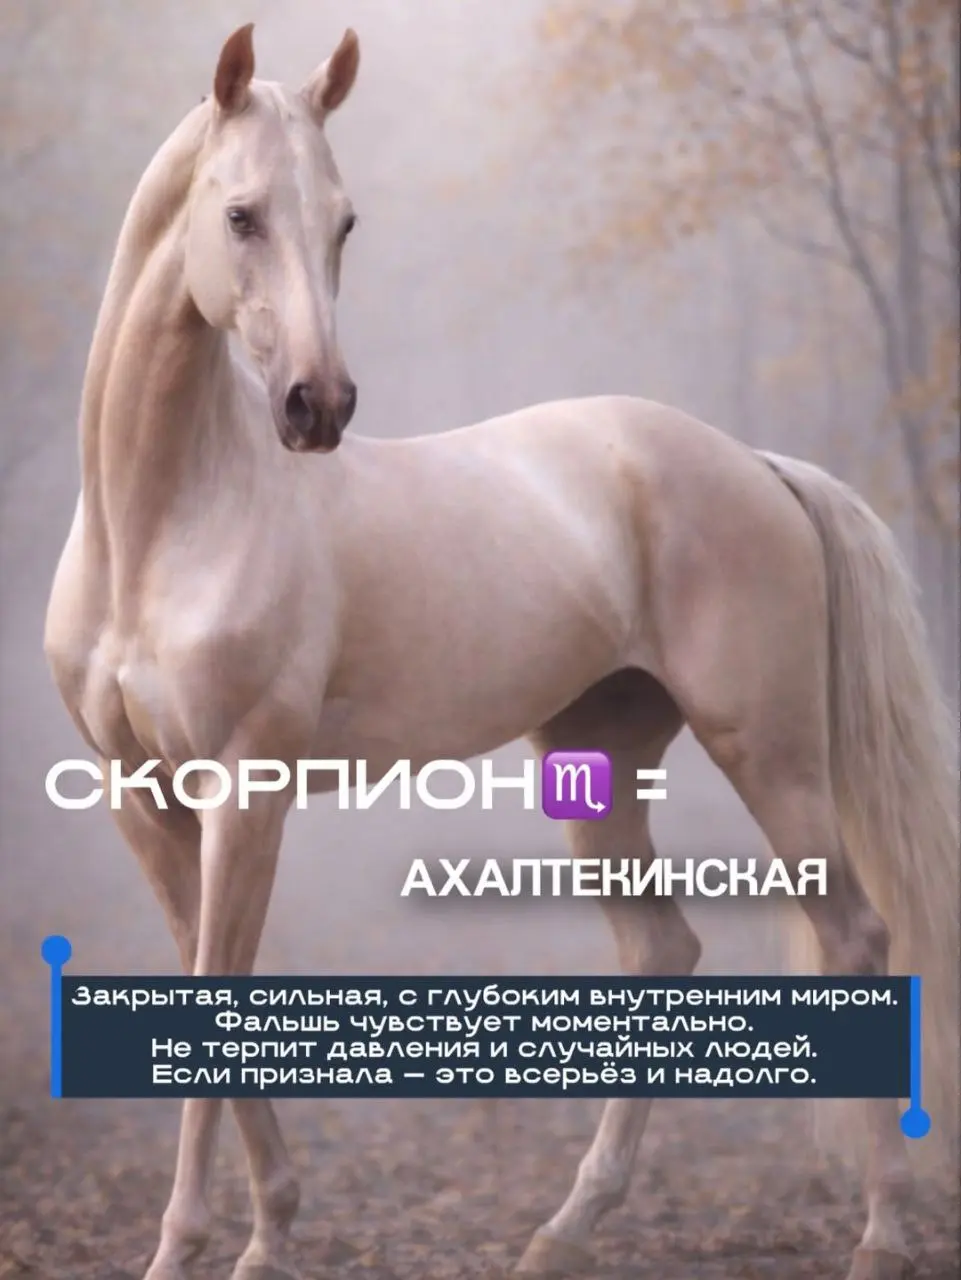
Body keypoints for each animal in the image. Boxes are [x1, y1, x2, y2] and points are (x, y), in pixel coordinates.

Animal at [43, 22, 958, 1280]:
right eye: (239, 215)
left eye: (344, 220)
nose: (318, 407)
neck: (162, 524)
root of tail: (757, 465)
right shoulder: (143, 798)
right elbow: (209, 987)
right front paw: (267, 1229)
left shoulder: (245, 788)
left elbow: (220, 993)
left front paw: (201, 1246)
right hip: (601, 767)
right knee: (662, 948)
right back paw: (565, 1225)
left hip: (770, 754)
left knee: (858, 937)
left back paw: (879, 1232)